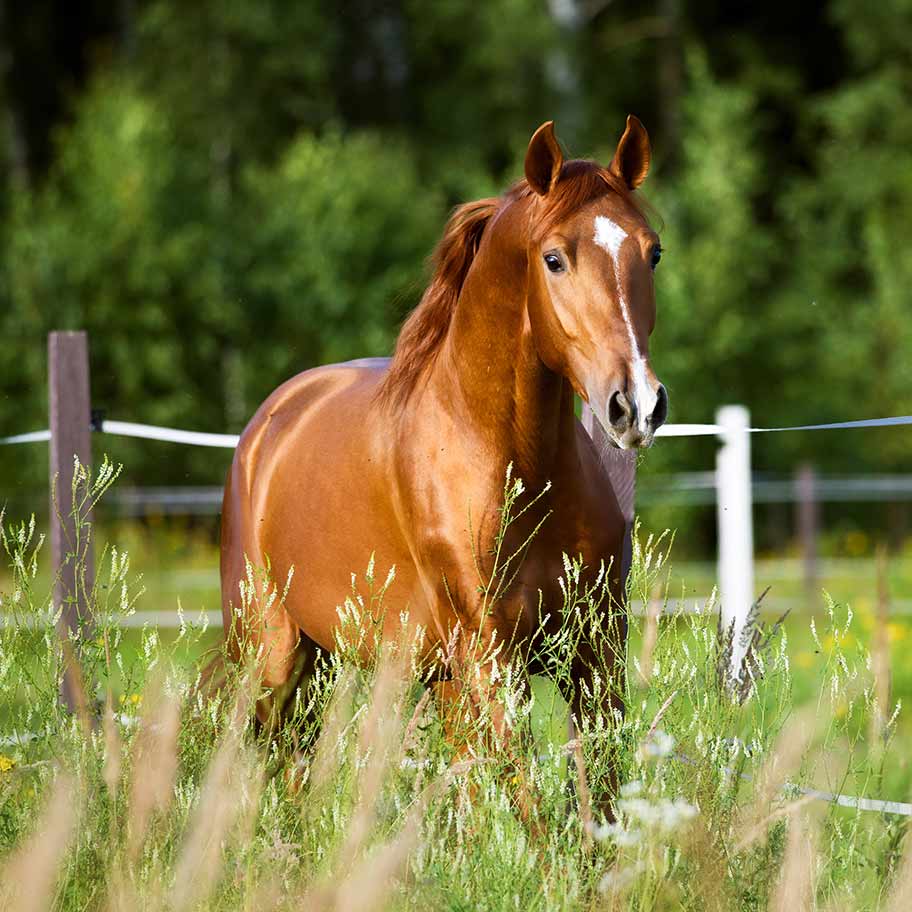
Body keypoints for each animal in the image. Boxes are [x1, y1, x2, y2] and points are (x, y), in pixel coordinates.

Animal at [217, 117, 668, 800]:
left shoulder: (593, 657)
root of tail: (267, 426)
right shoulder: (490, 660)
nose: (636, 405)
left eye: (653, 252)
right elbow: (529, 801)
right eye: (554, 258)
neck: (515, 467)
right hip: (273, 655)